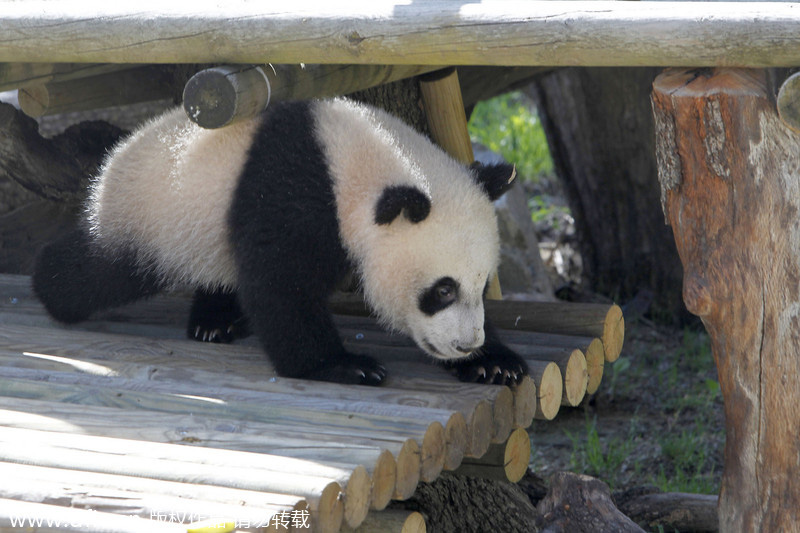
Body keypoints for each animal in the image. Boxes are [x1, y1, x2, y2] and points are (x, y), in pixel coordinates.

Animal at [34, 97, 528, 384]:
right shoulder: (292, 189)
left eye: (482, 285)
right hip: (150, 216)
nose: (466, 344)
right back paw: (49, 284)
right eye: (442, 290)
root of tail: (117, 155)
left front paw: (494, 362)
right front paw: (344, 365)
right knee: (99, 272)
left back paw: (216, 321)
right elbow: (281, 283)